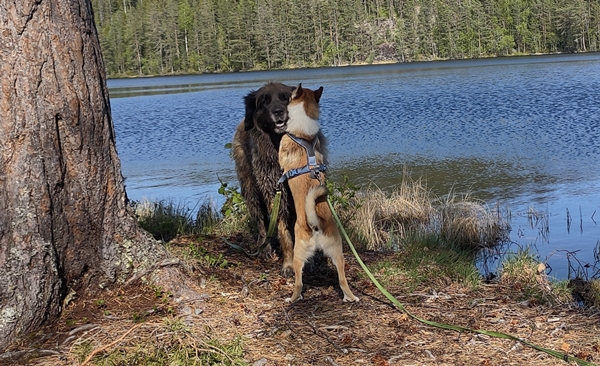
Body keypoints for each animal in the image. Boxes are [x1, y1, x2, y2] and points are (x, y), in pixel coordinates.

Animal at [278, 85, 358, 304]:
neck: (303, 134)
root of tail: (316, 224)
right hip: (338, 252)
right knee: (342, 280)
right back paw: (351, 297)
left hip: (298, 254)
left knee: (299, 282)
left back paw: (293, 298)